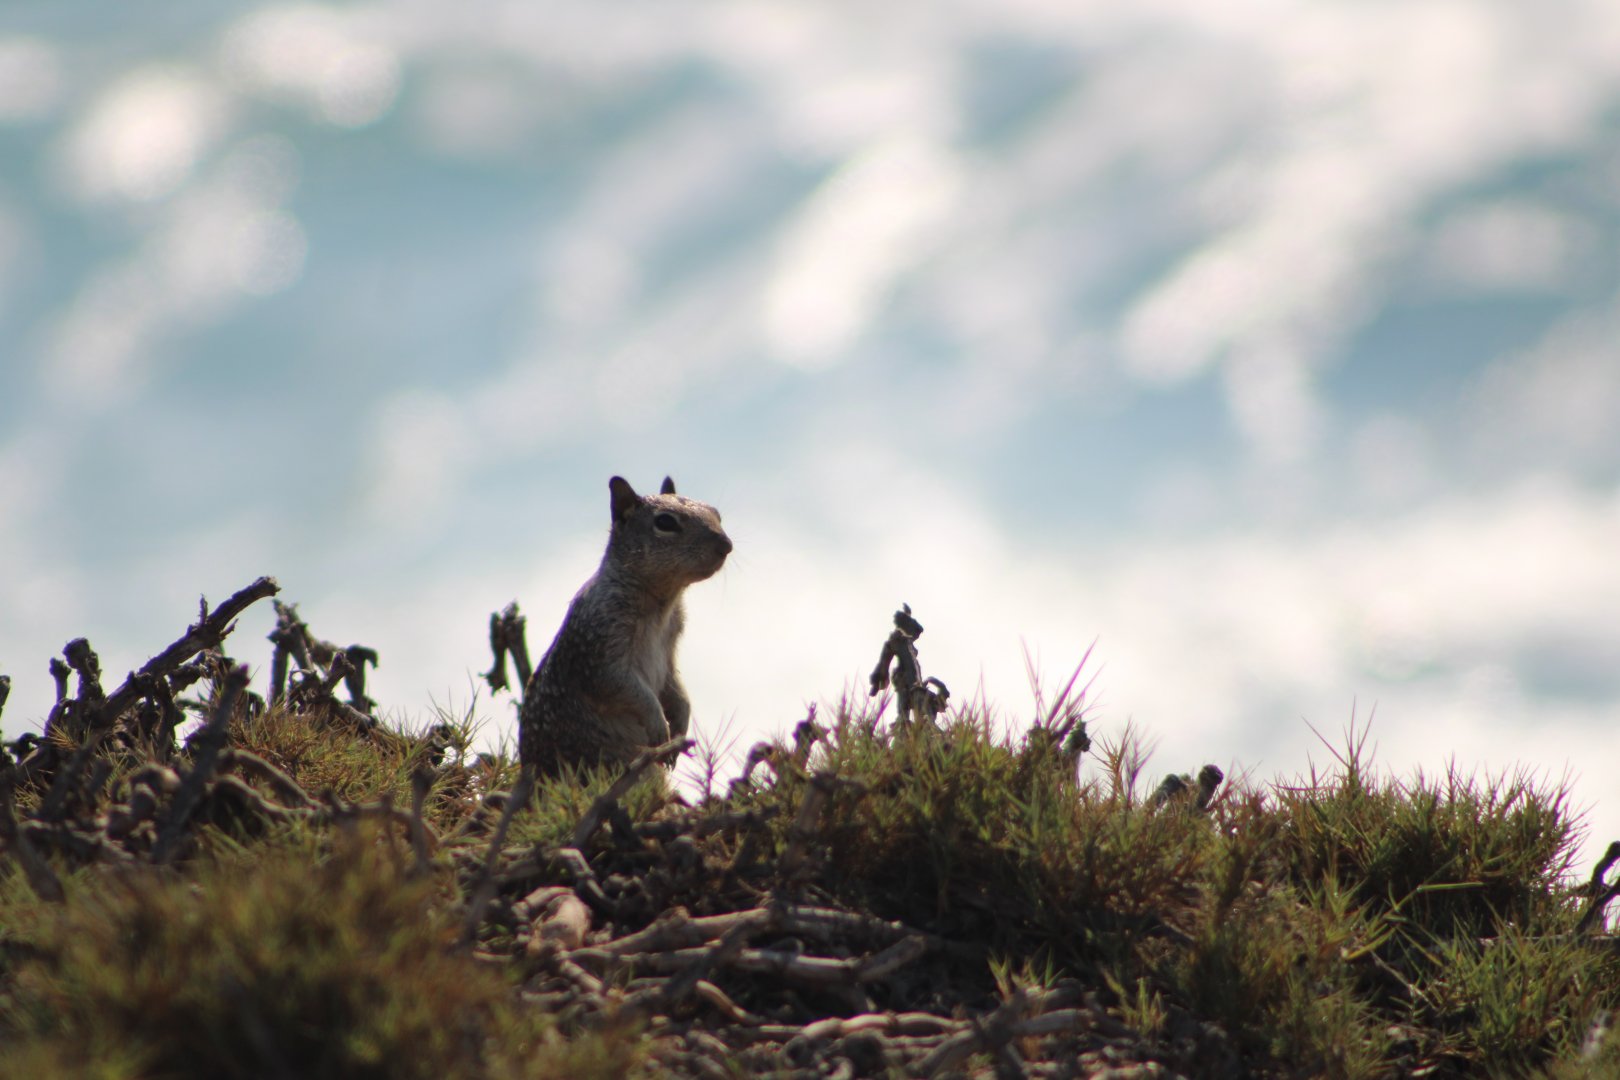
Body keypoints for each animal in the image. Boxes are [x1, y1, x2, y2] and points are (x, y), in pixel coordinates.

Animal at [519, 475, 732, 776]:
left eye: (716, 514)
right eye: (665, 522)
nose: (726, 545)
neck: (662, 603)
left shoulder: (670, 649)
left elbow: (675, 685)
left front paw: (681, 724)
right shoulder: (601, 647)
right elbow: (621, 685)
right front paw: (659, 725)